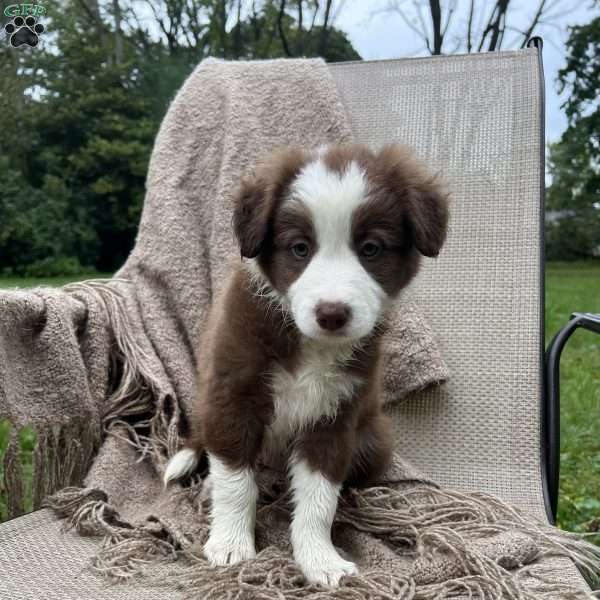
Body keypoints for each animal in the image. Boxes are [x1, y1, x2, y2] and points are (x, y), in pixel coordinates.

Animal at [164, 144, 450, 584]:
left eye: (371, 249)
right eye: (300, 248)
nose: (332, 314)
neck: (311, 344)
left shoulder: (335, 416)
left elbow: (319, 498)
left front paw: (320, 560)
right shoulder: (233, 396)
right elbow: (235, 483)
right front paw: (230, 546)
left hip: (374, 440)